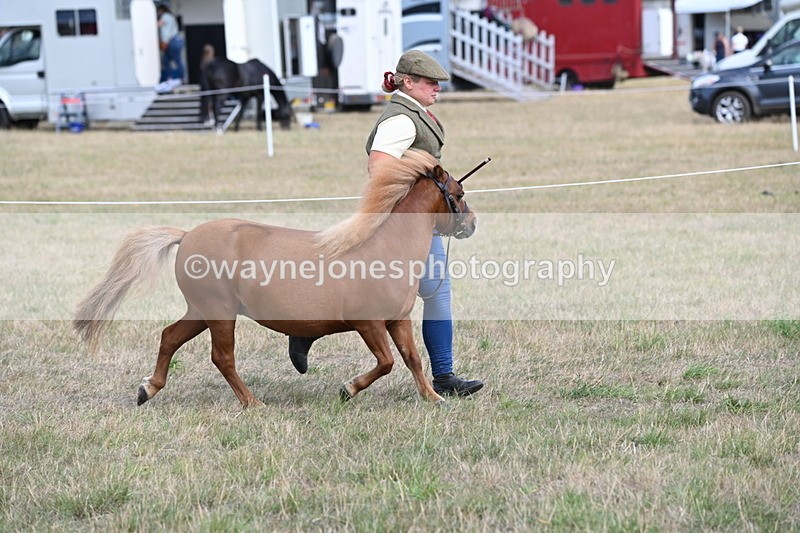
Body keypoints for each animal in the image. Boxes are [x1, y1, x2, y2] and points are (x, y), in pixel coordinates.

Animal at [73, 150, 477, 408]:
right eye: (458, 193)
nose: (472, 224)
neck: (385, 248)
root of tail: (186, 235)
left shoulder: (397, 320)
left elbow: (412, 358)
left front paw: (433, 398)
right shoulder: (369, 323)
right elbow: (387, 362)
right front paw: (348, 389)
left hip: (201, 311)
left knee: (169, 337)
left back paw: (148, 390)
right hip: (219, 313)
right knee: (222, 357)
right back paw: (253, 402)